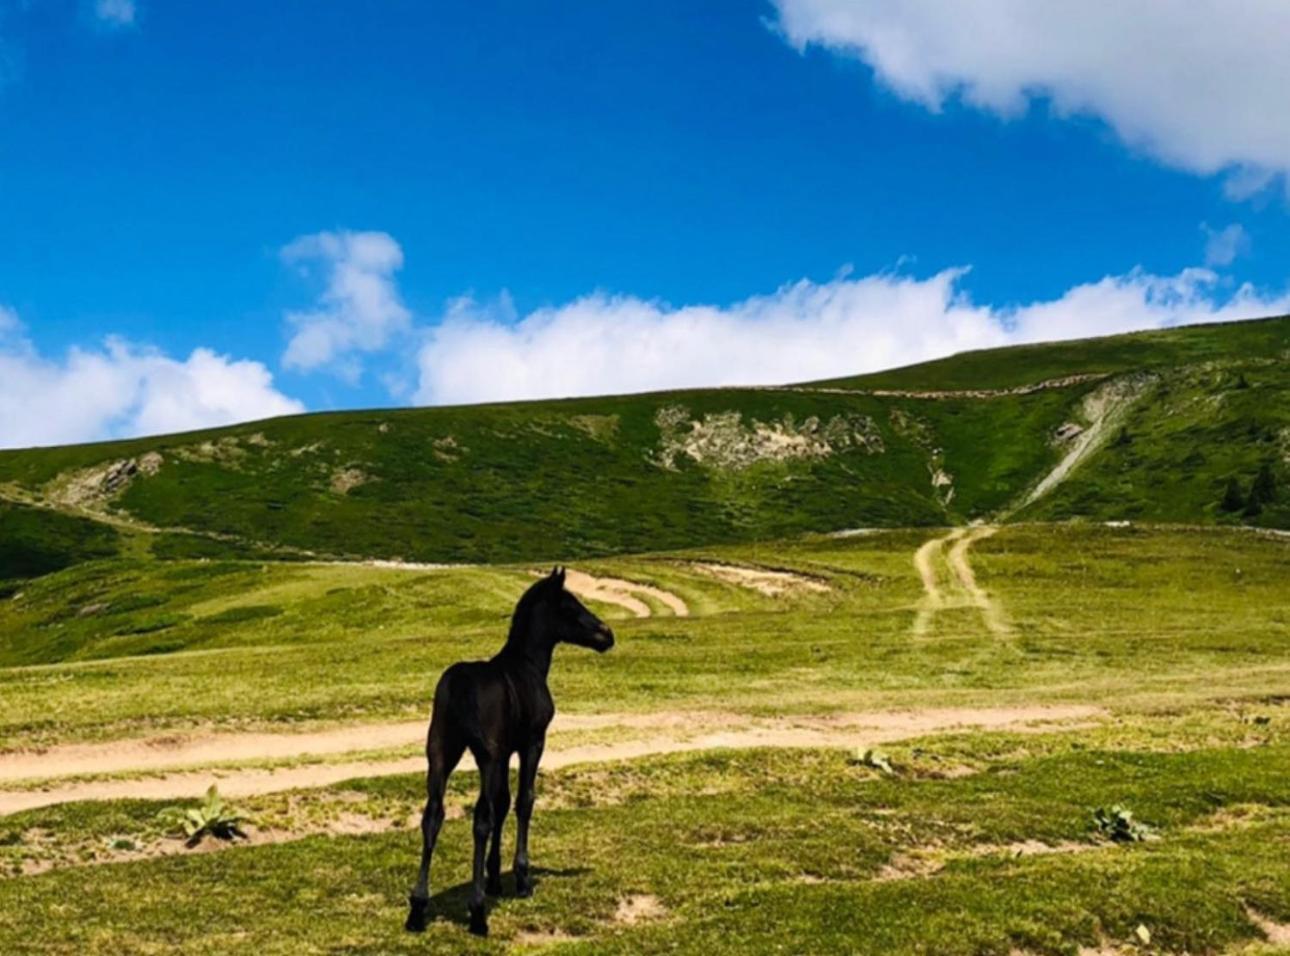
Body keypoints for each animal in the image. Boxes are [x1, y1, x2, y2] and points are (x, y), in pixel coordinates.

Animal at [407, 567, 619, 934]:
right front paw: (520, 878)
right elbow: (523, 801)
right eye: (570, 606)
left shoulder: (505, 752)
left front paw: (494, 877)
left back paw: (418, 907)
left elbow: (504, 802)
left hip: (440, 753)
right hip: (485, 757)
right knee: (480, 818)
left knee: (433, 815)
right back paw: (477, 911)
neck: (527, 665)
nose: (606, 634)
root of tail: (460, 684)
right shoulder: (531, 743)